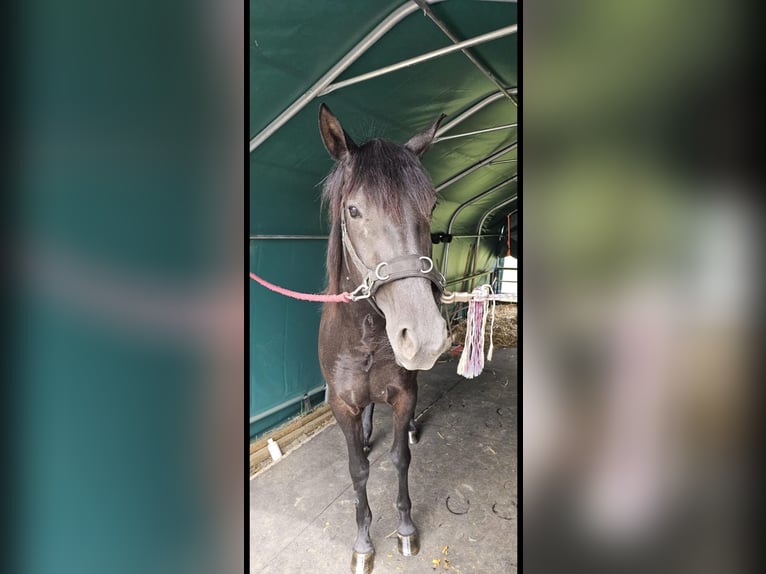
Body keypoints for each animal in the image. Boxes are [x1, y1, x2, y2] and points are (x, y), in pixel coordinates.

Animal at [317, 103, 450, 574]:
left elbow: (400, 459)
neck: (368, 337)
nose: (424, 336)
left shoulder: (405, 392)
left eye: (432, 204)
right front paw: (363, 543)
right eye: (354, 211)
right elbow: (358, 470)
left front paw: (406, 531)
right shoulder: (341, 404)